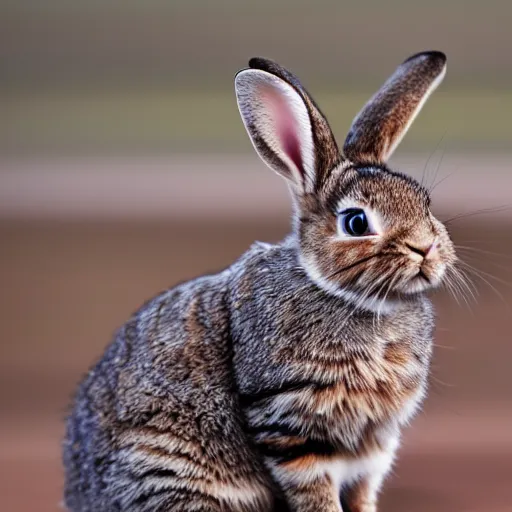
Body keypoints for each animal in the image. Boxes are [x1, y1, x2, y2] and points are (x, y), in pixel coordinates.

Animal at [62, 49, 458, 512]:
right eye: (356, 222)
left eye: (425, 204)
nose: (425, 248)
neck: (352, 299)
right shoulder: (290, 424)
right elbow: (316, 492)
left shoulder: (373, 448)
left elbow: (362, 495)